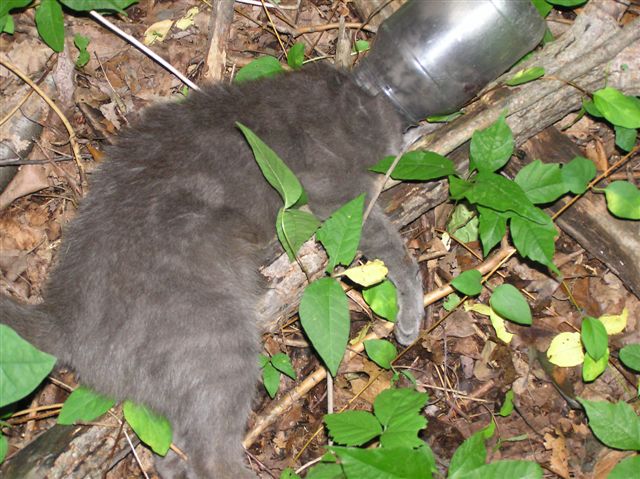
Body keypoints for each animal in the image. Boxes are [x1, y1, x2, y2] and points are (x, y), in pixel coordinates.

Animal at [1, 64, 424, 479]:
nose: (410, 124)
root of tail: (62, 315)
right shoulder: (337, 190)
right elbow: (390, 246)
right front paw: (411, 312)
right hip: (218, 340)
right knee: (213, 456)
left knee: (171, 455)